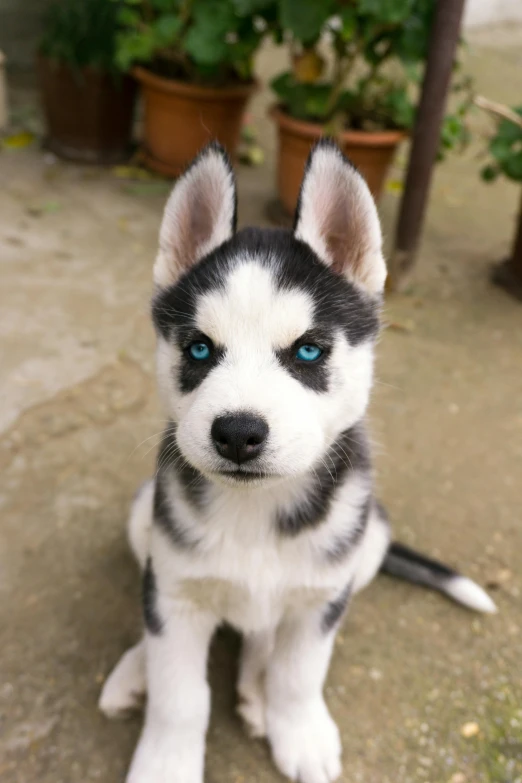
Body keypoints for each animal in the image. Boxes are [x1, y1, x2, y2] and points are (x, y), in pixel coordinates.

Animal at [98, 141, 496, 783]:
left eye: (308, 351)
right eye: (198, 349)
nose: (237, 433)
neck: (255, 511)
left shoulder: (323, 597)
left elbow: (298, 673)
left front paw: (299, 730)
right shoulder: (177, 588)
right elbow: (180, 695)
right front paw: (165, 762)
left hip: (368, 540)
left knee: (266, 633)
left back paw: (256, 690)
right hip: (146, 519)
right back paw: (138, 671)